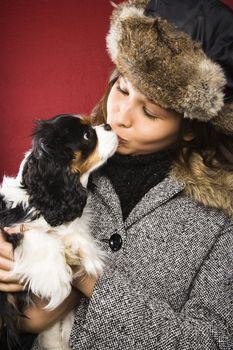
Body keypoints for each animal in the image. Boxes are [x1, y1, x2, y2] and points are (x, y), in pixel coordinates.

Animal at [0, 113, 117, 348]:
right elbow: (36, 236)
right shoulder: (10, 225)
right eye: (87, 135)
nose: (109, 125)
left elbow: (75, 235)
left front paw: (88, 255)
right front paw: (57, 279)